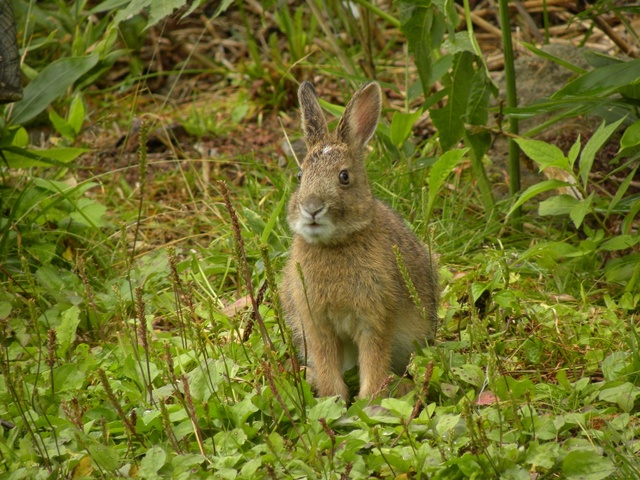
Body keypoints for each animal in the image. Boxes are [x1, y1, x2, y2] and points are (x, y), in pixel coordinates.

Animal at [282, 79, 438, 402]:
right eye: (300, 176)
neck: (335, 244)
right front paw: (333, 399)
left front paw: (369, 400)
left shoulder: (375, 317)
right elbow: (326, 361)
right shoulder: (316, 323)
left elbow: (374, 357)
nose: (312, 208)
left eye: (344, 177)